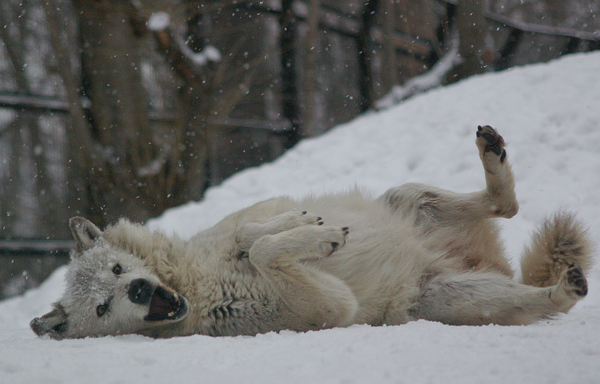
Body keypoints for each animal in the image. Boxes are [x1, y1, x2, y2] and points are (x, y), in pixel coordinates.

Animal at [31, 126, 592, 340]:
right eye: (103, 306)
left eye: (118, 268)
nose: (141, 290)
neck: (192, 283)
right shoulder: (332, 307)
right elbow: (265, 250)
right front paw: (322, 240)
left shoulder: (245, 220)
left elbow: (252, 232)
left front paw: (301, 226)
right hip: (447, 301)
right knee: (547, 294)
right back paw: (565, 287)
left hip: (407, 199)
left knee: (507, 205)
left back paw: (492, 150)